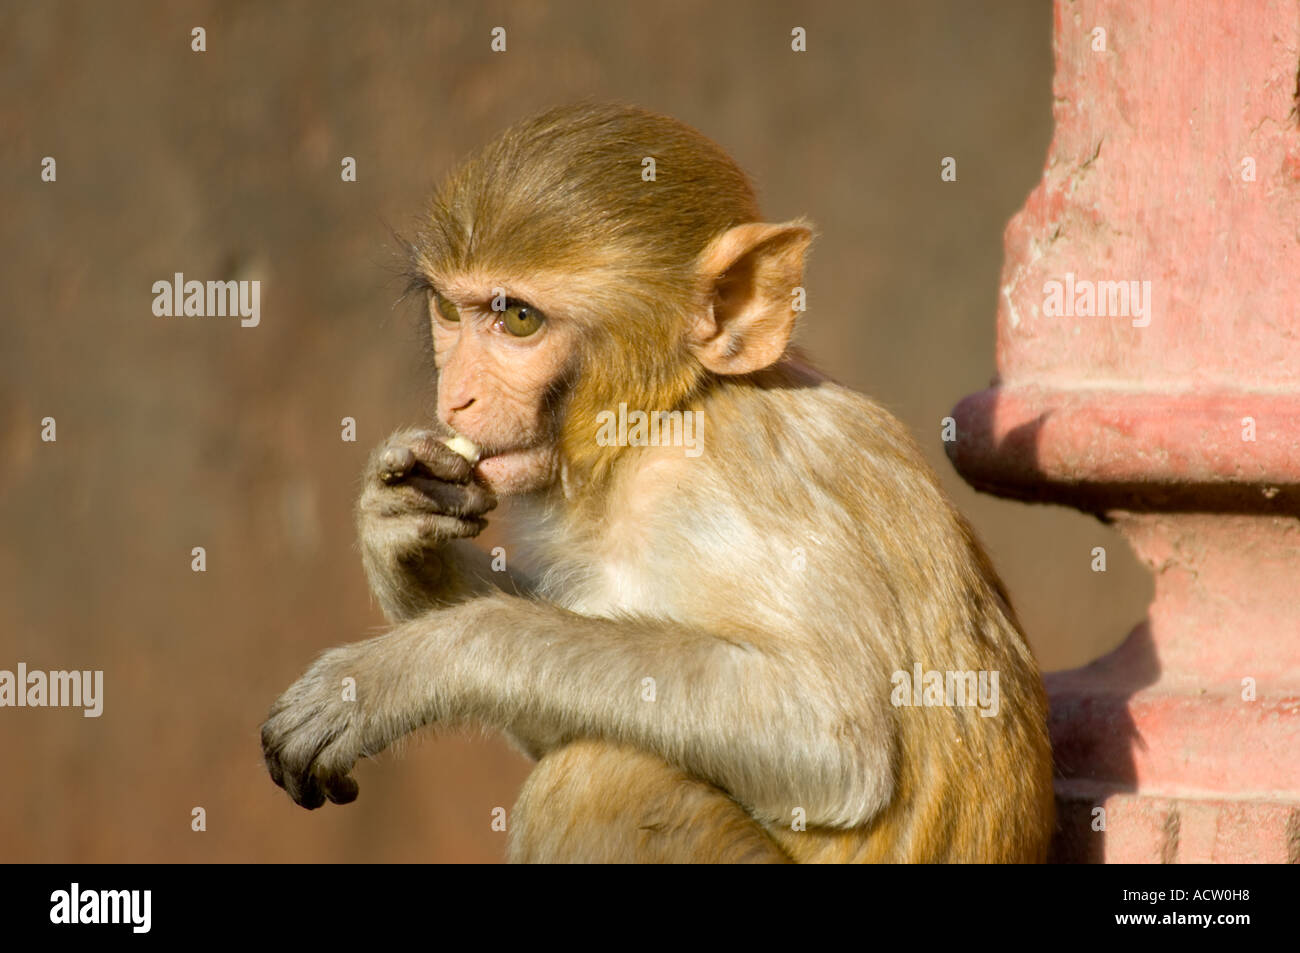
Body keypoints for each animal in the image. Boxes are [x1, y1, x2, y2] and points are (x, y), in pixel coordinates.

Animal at [263, 104, 1055, 863]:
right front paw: (396, 530)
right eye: (451, 311)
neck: (664, 414)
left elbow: (831, 736)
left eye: (517, 318)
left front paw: (419, 664)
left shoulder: (704, 496)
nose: (456, 397)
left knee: (595, 778)